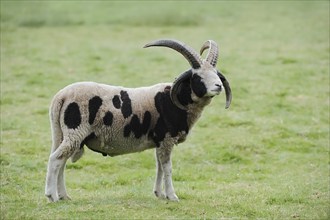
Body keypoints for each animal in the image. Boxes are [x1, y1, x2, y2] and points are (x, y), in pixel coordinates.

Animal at [45, 38, 233, 202]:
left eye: (216, 74)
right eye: (198, 77)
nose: (218, 86)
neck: (176, 100)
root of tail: (60, 97)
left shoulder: (160, 141)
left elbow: (159, 166)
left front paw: (159, 194)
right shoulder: (167, 138)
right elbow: (167, 168)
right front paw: (172, 196)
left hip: (64, 134)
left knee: (61, 162)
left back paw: (64, 196)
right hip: (75, 132)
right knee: (56, 159)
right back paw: (52, 196)